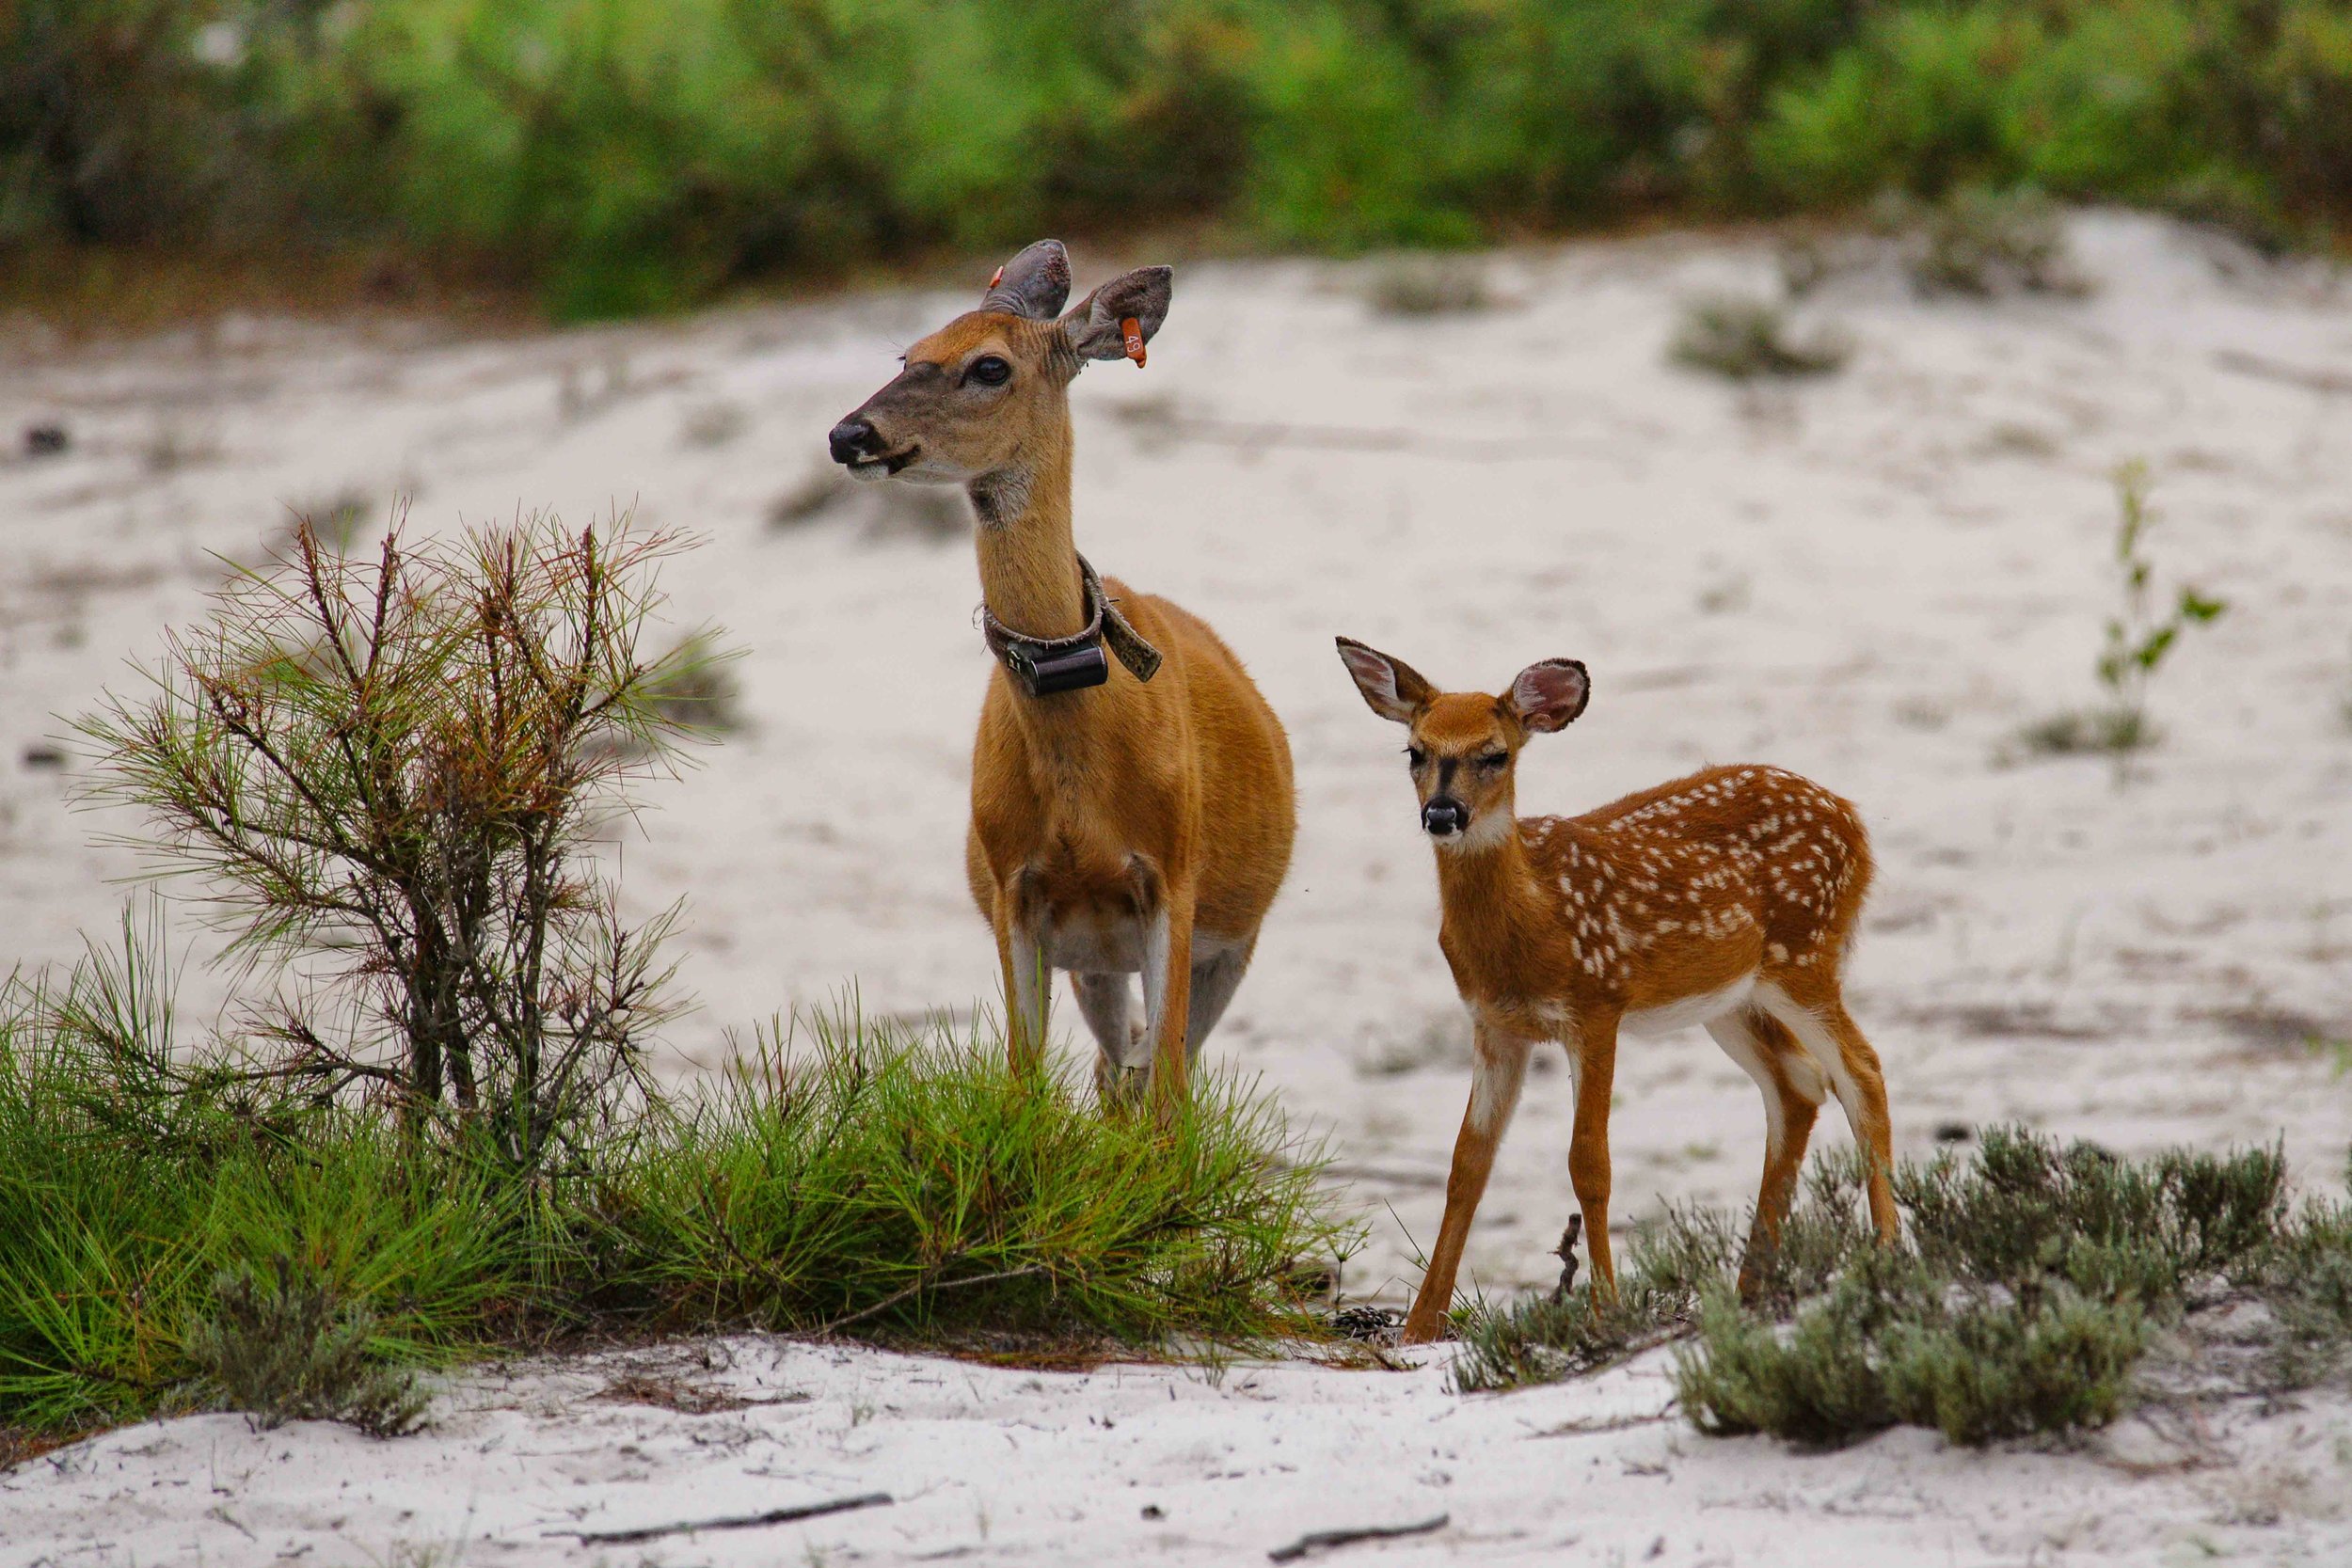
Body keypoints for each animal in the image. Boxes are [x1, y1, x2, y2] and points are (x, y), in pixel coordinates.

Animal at [828, 239, 1298, 1109]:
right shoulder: (1016, 887)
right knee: (1113, 1069)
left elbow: (1170, 1091)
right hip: (1096, 961)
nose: (850, 433)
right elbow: (1025, 1081)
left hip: (1235, 937)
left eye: (989, 366)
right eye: (907, 354)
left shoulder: (1173, 877)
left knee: (1156, 1071)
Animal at [1336, 639, 1900, 1354]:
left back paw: (1885, 1256)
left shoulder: (1597, 1002)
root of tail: (1853, 817)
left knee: (1862, 1070)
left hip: (1805, 956)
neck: (1534, 916)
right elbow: (1467, 1164)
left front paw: (1605, 1311)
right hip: (1730, 998)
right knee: (1798, 1085)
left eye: (1496, 754)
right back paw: (1750, 1286)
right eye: (1415, 751)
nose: (1442, 814)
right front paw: (1418, 1327)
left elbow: (1590, 1163)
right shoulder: (1495, 1024)